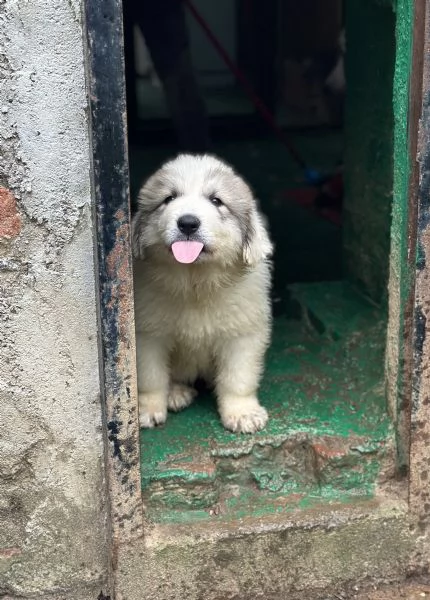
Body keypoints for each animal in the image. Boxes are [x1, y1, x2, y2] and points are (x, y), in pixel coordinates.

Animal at [132, 154, 272, 432]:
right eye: (169, 198)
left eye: (216, 200)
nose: (187, 223)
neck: (195, 282)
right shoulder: (148, 335)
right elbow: (152, 376)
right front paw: (149, 409)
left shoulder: (243, 334)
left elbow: (238, 377)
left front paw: (242, 412)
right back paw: (176, 393)